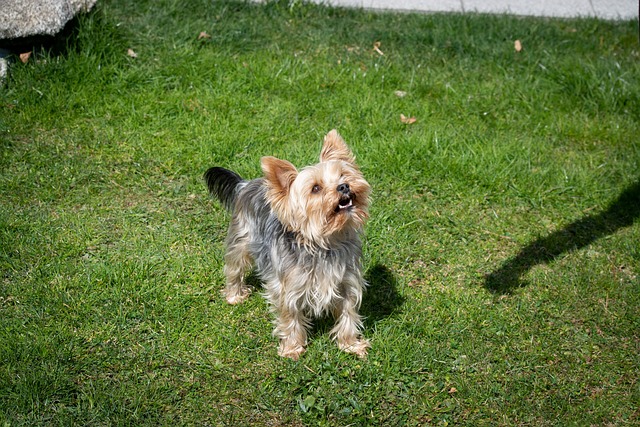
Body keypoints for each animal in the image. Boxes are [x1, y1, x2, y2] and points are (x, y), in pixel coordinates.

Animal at [205, 129, 372, 360]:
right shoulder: (287, 287)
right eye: (316, 188)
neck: (325, 244)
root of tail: (246, 184)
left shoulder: (348, 282)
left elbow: (349, 314)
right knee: (234, 267)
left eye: (343, 175)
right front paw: (293, 348)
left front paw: (350, 345)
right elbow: (290, 317)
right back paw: (234, 296)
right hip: (241, 240)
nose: (344, 186)